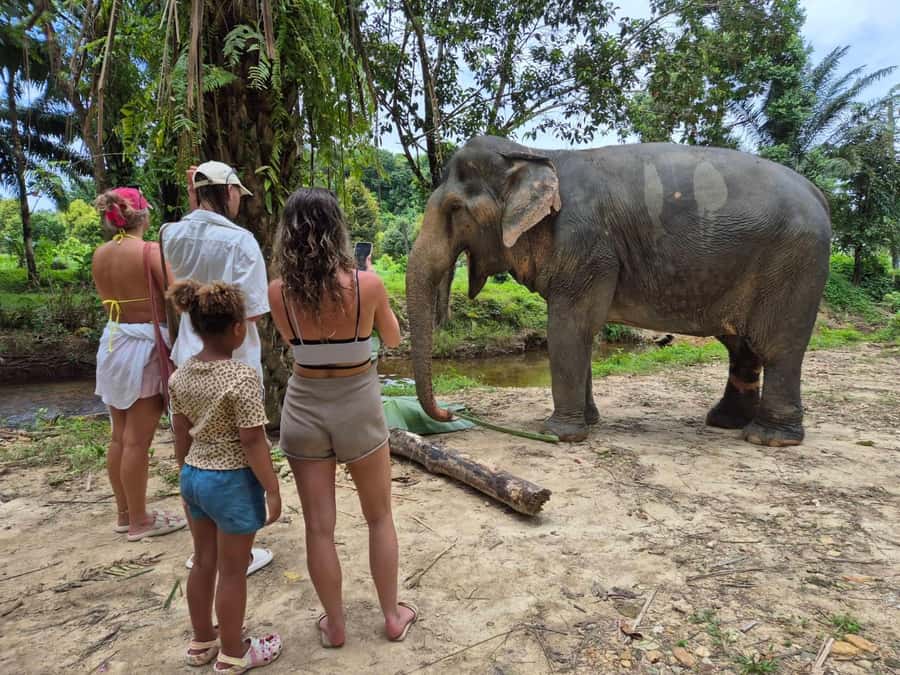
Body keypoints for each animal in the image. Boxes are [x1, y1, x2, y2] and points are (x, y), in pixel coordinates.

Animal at [405, 135, 832, 445]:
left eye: (455, 209)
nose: (451, 413)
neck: (535, 154)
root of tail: (818, 193)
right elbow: (583, 334)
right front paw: (590, 422)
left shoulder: (586, 245)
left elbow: (568, 329)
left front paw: (558, 434)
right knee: (741, 346)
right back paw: (724, 422)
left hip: (795, 265)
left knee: (778, 347)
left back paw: (768, 438)